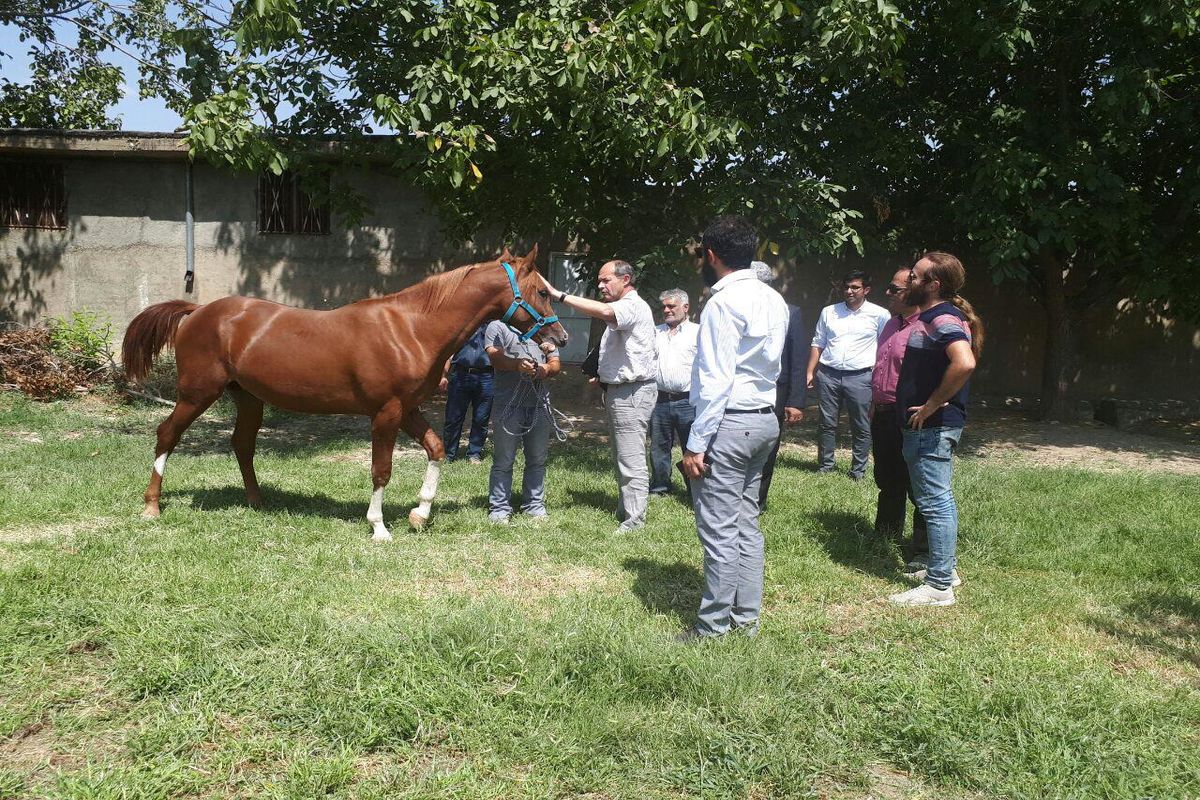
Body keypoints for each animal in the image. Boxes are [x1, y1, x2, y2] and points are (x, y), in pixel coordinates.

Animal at [120, 247, 566, 542]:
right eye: (543, 292)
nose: (560, 337)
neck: (411, 328)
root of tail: (197, 312)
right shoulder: (386, 413)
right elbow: (381, 469)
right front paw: (379, 527)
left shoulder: (408, 409)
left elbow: (437, 448)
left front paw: (419, 514)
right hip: (197, 394)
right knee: (167, 435)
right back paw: (151, 507)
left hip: (247, 397)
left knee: (242, 445)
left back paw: (257, 502)